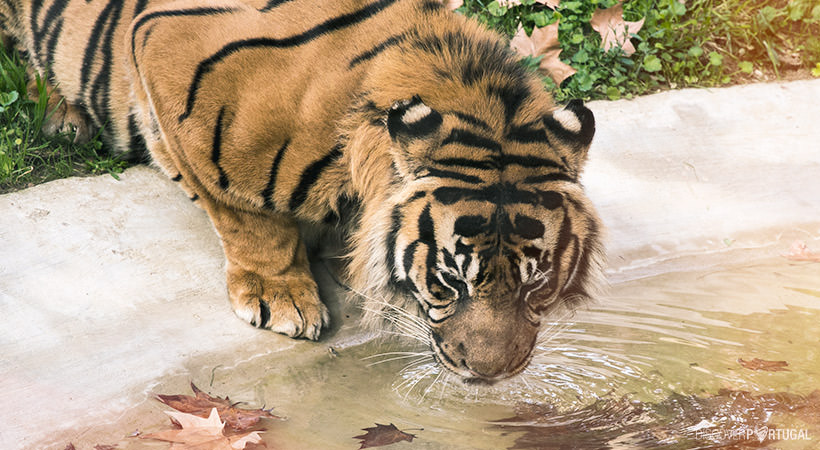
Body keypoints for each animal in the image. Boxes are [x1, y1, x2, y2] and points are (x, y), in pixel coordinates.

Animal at [0, 0, 604, 382]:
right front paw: (282, 295)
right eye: (449, 283)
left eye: (537, 285)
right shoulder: (165, 58)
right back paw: (62, 117)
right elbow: (246, 215)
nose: (491, 375)